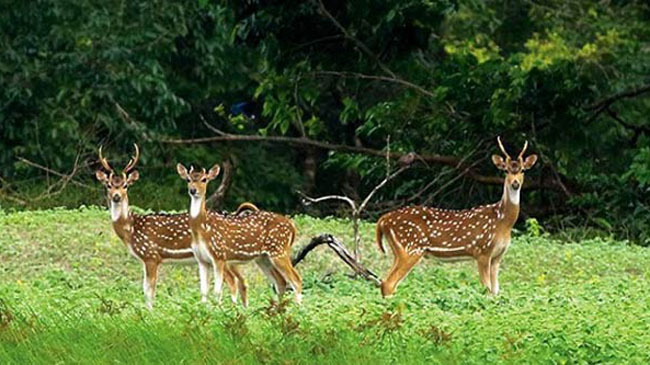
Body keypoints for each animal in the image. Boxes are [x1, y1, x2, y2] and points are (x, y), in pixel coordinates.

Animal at [93, 145, 248, 308]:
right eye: (108, 185)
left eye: (125, 185)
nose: (116, 196)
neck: (131, 229)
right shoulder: (145, 259)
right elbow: (145, 289)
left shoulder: (151, 255)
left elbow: (149, 291)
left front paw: (150, 311)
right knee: (240, 280)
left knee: (232, 281)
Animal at [175, 164, 302, 302]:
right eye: (188, 179)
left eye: (204, 179)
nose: (193, 190)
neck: (202, 230)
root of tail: (292, 226)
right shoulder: (202, 260)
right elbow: (203, 292)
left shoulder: (219, 255)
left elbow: (217, 291)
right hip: (263, 257)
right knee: (280, 281)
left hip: (279, 250)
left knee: (296, 280)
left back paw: (297, 306)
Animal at [374, 136, 536, 296]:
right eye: (506, 170)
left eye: (522, 170)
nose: (515, 183)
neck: (503, 222)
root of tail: (383, 219)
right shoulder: (482, 251)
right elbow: (487, 289)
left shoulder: (498, 255)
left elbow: (496, 291)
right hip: (411, 248)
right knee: (388, 284)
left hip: (401, 251)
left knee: (385, 282)